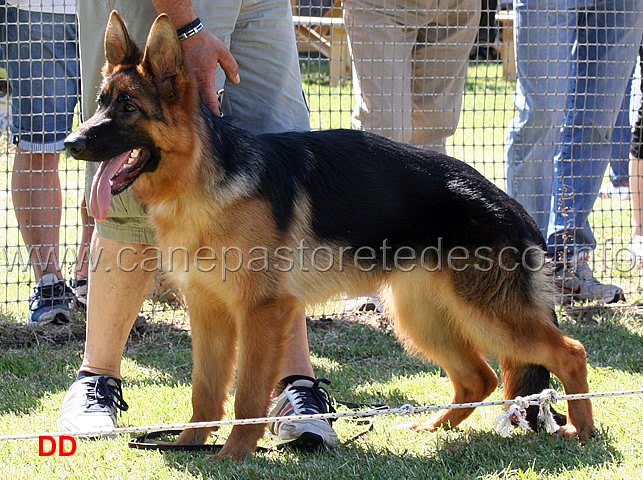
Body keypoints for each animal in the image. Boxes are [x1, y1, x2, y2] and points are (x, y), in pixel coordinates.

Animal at [65, 11, 592, 462]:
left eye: (128, 107)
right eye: (99, 104)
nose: (70, 143)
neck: (203, 179)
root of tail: (511, 206)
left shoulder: (262, 313)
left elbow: (248, 396)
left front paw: (233, 454)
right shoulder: (208, 311)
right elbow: (206, 394)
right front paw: (189, 445)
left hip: (488, 316)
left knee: (569, 352)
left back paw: (580, 430)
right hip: (423, 316)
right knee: (478, 378)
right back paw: (434, 428)